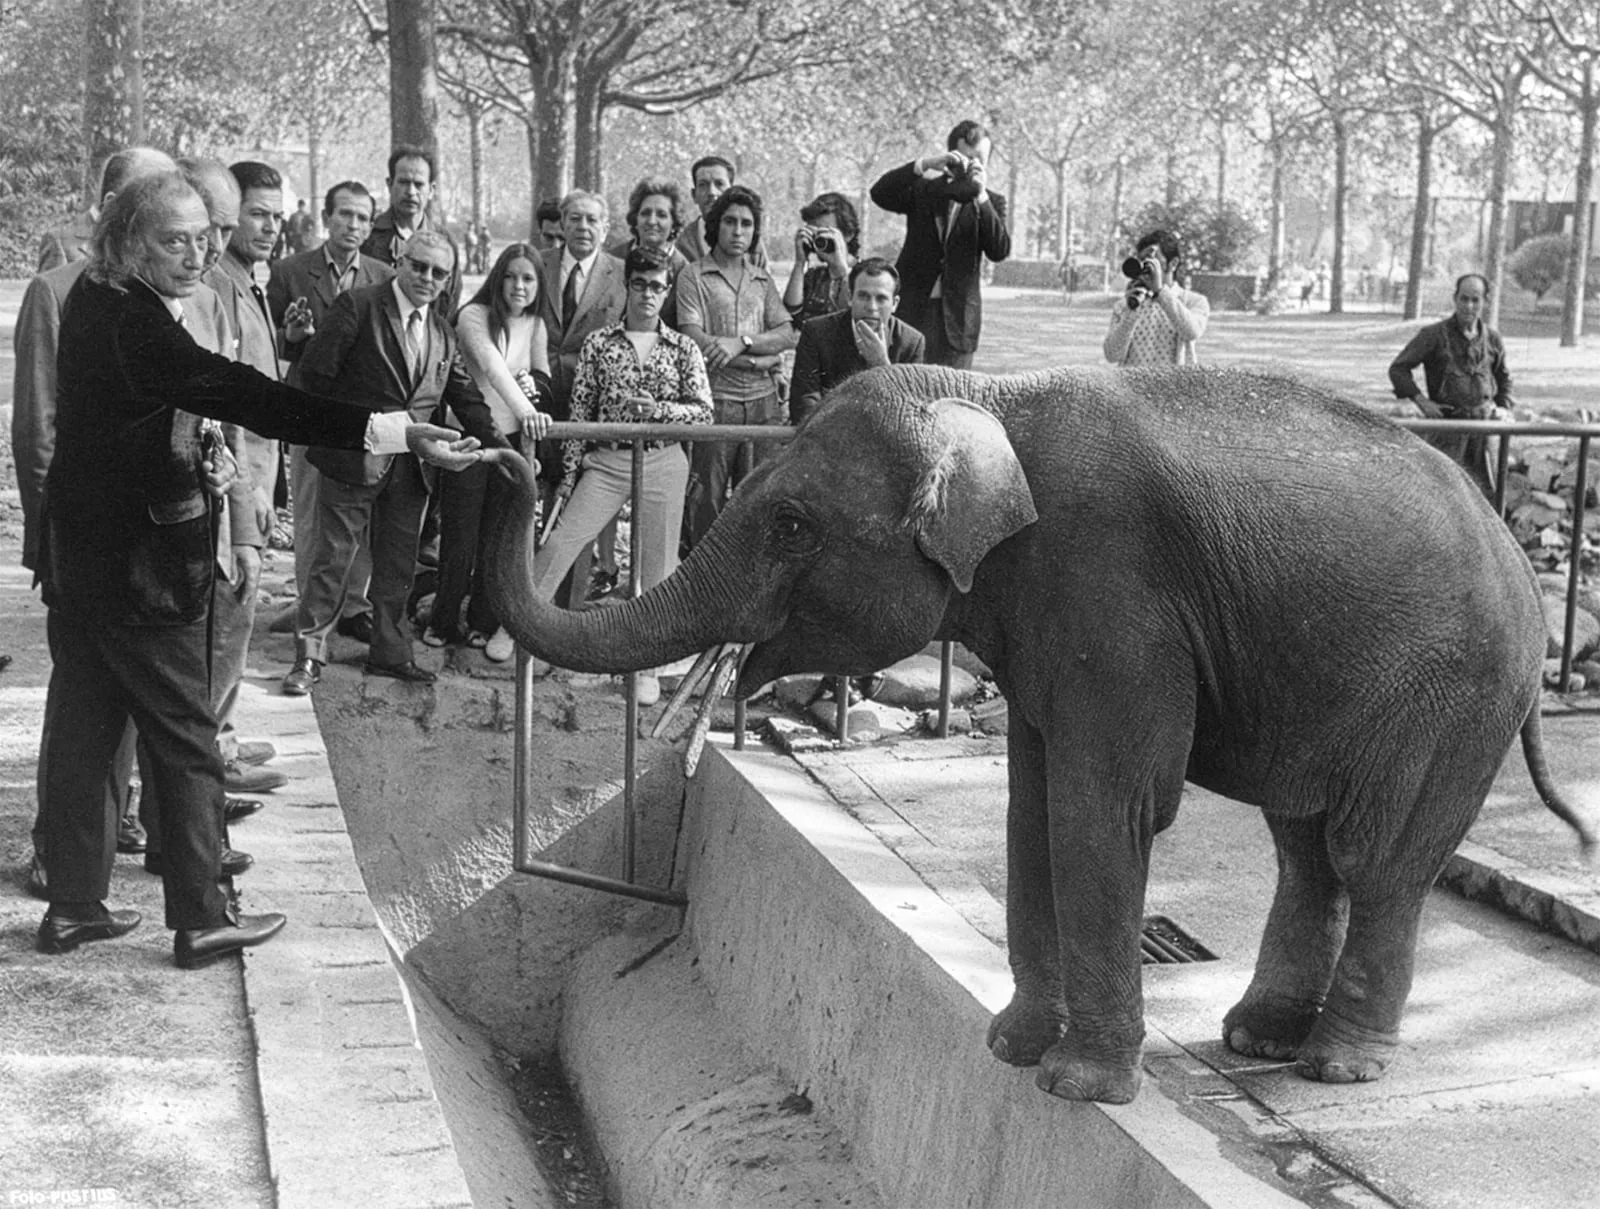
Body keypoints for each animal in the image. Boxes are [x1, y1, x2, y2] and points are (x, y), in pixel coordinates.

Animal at [481, 364, 1595, 1106]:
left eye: (792, 525)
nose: (501, 450)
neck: (987, 399)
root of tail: (1514, 550)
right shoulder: (1042, 620)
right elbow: (1034, 800)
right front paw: (1008, 1048)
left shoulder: (1114, 591)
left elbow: (1103, 807)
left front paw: (1077, 1087)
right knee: (1305, 844)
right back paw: (1256, 1039)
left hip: (1450, 696)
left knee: (1374, 858)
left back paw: (1336, 1064)